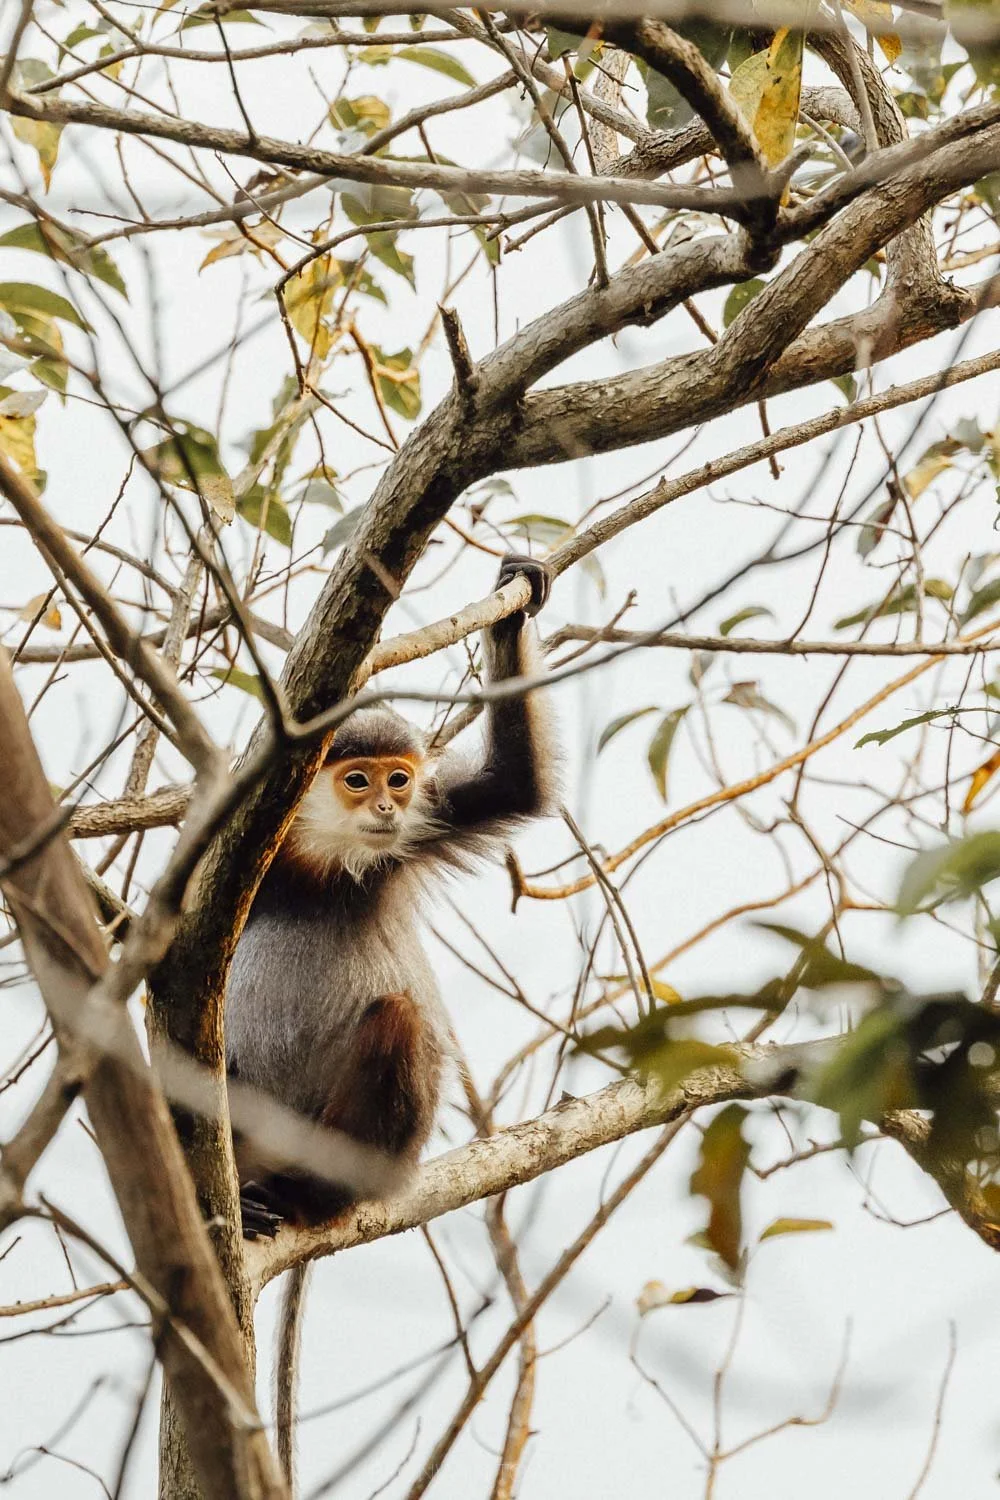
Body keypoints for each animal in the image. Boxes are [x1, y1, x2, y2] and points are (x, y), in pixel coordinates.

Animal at [223, 553, 558, 1488]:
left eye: (400, 779)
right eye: (358, 778)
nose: (384, 808)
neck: (320, 864)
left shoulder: (423, 827)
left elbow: (517, 787)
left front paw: (515, 601)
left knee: (402, 1017)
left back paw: (320, 1192)